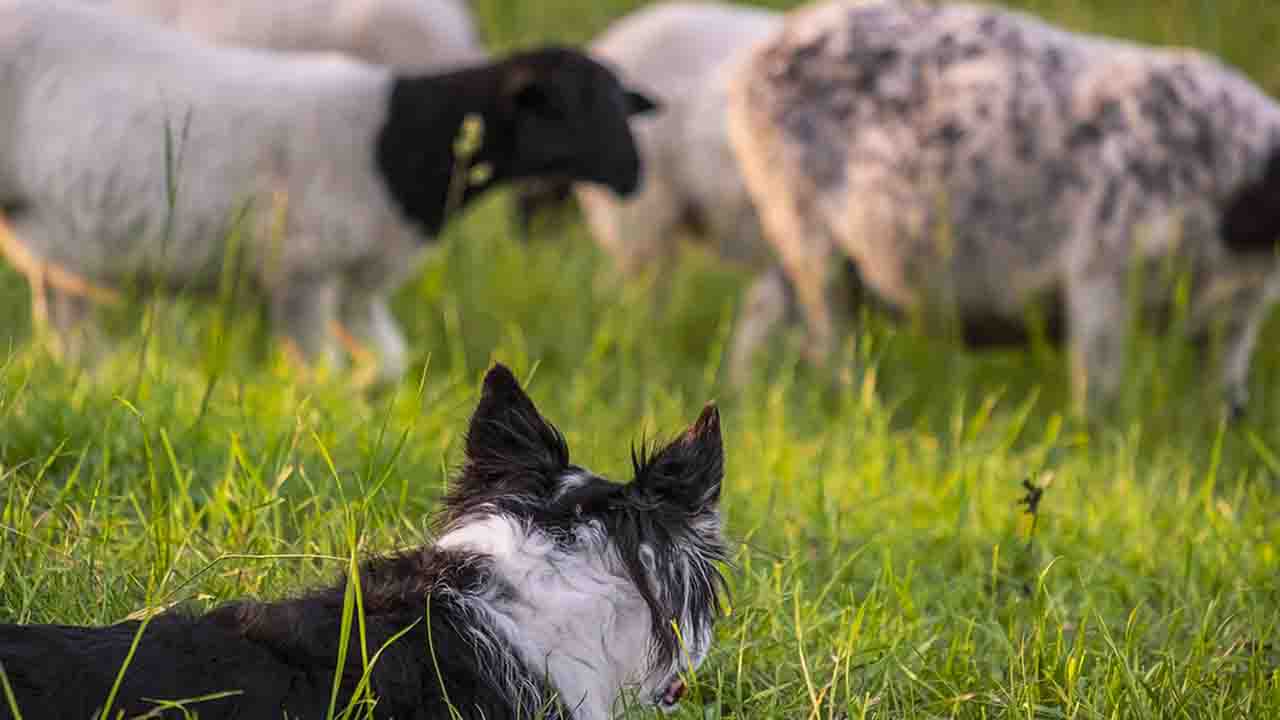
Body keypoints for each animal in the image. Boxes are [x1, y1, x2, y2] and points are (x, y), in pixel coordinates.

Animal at [0, 0, 655, 381]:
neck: (398, 143)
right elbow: (320, 372)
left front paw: (366, 398)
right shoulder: (302, 272)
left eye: (622, 104)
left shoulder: (360, 283)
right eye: (566, 108)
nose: (634, 177)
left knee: (64, 324)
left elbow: (389, 363)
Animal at [727, 0, 1280, 415]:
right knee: (827, 336)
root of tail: (757, 56)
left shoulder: (1239, 315)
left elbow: (1225, 395)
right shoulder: (1102, 269)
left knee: (763, 307)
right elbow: (1099, 390)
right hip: (803, 226)